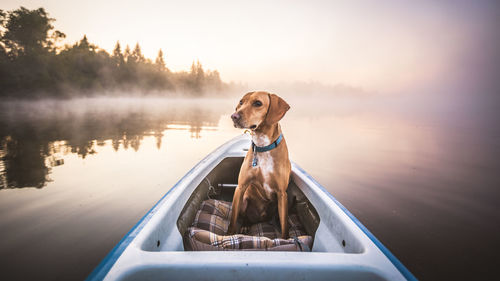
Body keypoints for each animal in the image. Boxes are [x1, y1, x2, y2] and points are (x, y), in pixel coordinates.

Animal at [229, 91, 292, 237]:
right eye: (241, 102)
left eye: (257, 103)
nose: (234, 116)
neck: (263, 146)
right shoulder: (240, 188)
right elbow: (232, 220)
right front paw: (228, 234)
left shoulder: (282, 194)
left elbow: (284, 226)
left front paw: (286, 238)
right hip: (244, 201)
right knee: (245, 216)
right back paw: (246, 225)